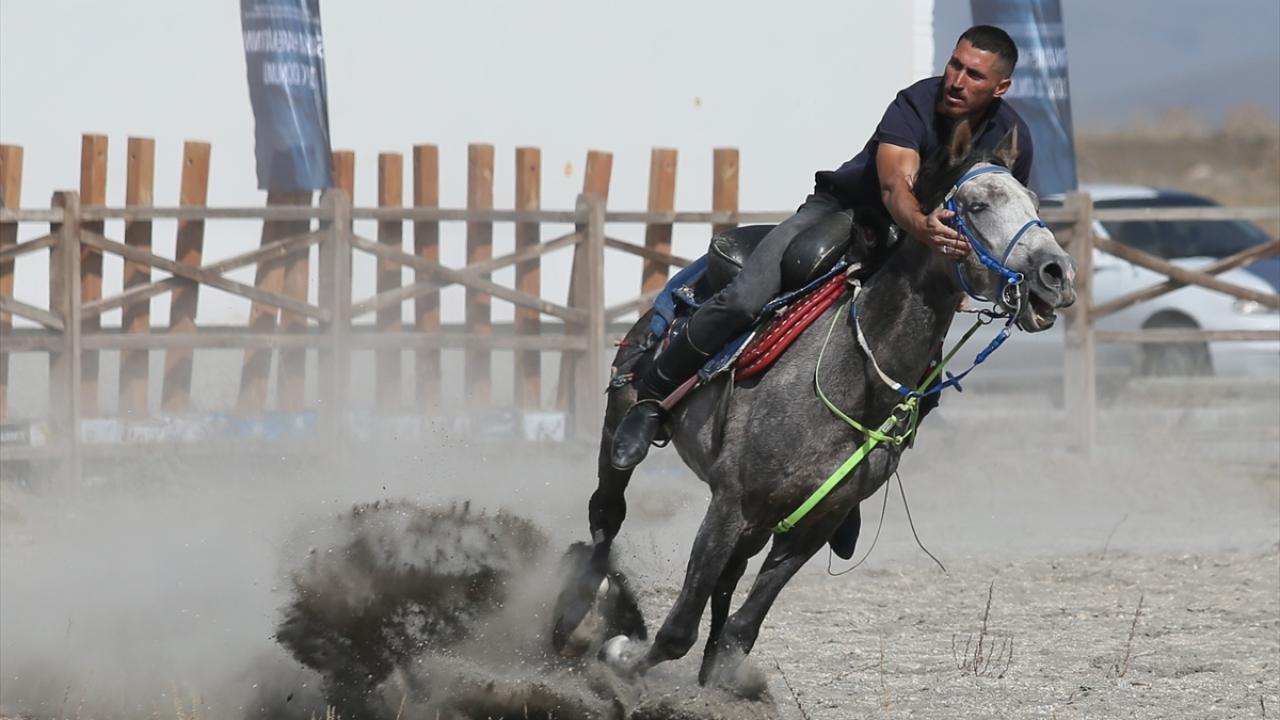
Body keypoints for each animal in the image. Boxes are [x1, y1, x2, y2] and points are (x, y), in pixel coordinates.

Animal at [552, 122, 1078, 689]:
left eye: (1033, 201)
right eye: (977, 205)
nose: (1057, 272)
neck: (849, 376)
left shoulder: (814, 523)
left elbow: (741, 628)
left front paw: (717, 678)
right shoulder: (728, 504)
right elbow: (677, 630)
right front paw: (621, 653)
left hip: (762, 521)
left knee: (726, 578)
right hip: (621, 424)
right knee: (607, 514)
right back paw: (579, 612)